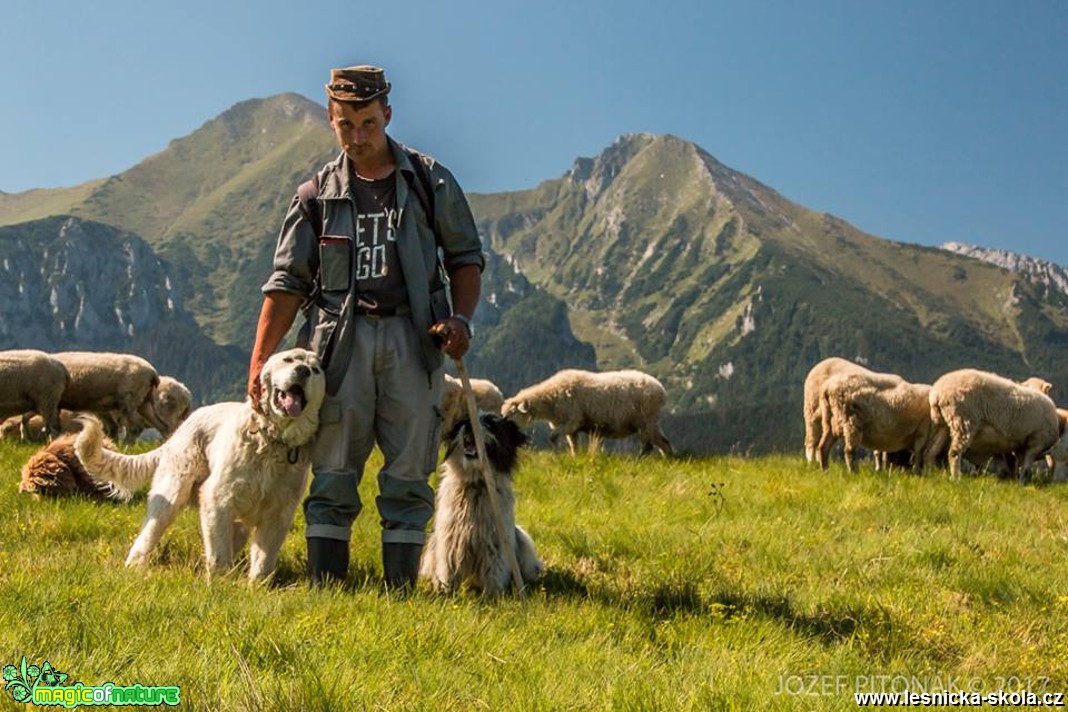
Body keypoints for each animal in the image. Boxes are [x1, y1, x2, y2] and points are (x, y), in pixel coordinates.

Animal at [76, 347, 324, 580]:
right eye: (288, 360)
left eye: (315, 370)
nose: (303, 370)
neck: (272, 440)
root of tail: (186, 423)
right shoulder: (217, 499)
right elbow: (219, 556)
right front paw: (220, 585)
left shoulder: (279, 512)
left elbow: (263, 560)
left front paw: (255, 588)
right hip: (172, 493)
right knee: (149, 532)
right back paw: (135, 565)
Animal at [497, 367, 666, 456]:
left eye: (511, 414)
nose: (502, 427)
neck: (551, 399)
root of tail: (661, 390)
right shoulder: (571, 428)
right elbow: (573, 445)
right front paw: (575, 457)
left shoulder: (572, 420)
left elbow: (553, 437)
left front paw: (556, 453)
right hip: (650, 422)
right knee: (663, 443)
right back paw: (668, 459)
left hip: (645, 421)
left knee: (649, 446)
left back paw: (639, 460)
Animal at [815, 371, 944, 476]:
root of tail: (827, 387)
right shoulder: (923, 430)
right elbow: (918, 453)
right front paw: (918, 474)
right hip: (851, 420)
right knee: (849, 450)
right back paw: (853, 473)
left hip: (829, 420)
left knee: (823, 447)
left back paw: (825, 471)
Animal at [927, 371, 1068, 482]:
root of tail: (937, 393)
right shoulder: (1035, 442)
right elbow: (1026, 467)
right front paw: (1021, 482)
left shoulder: (1018, 447)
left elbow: (1014, 464)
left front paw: (1014, 481)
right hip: (964, 421)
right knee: (954, 453)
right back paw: (956, 478)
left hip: (943, 425)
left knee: (933, 450)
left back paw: (932, 472)